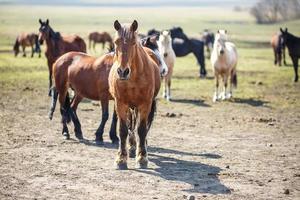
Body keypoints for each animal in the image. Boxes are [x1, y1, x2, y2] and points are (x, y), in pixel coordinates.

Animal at [108, 20, 161, 170]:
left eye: (133, 42)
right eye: (116, 42)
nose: (122, 71)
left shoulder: (145, 104)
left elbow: (142, 129)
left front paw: (142, 158)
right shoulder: (120, 104)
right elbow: (123, 130)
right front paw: (121, 159)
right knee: (131, 124)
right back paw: (131, 147)